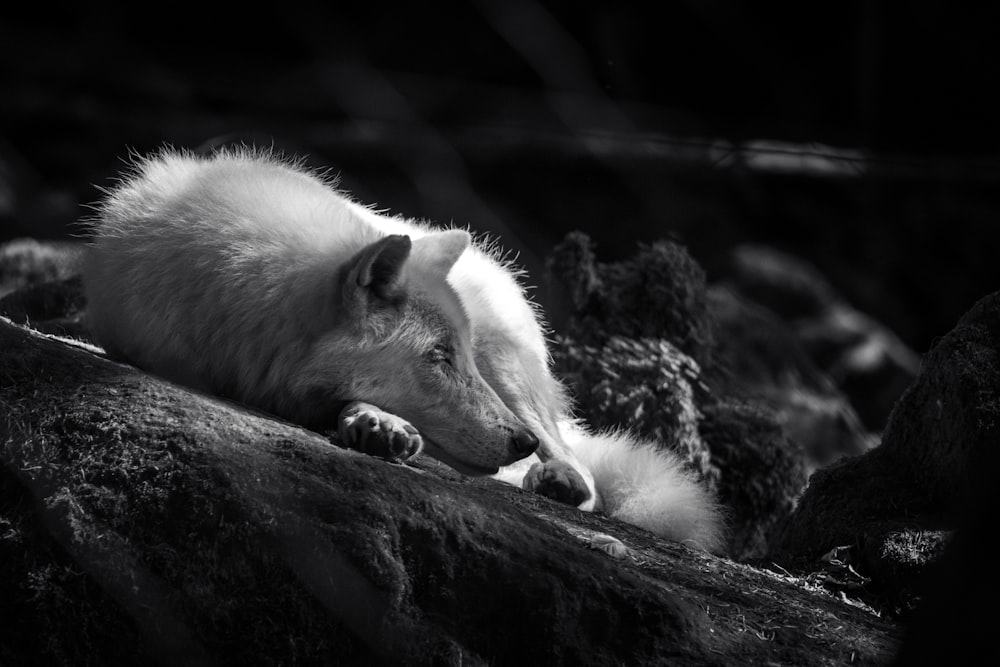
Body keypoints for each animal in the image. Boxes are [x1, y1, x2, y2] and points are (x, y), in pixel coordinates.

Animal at [82, 149, 724, 552]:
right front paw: (373, 424)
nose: (520, 441)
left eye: (459, 355)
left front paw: (373, 422)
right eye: (439, 358)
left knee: (579, 466)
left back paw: (555, 476)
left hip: (509, 364)